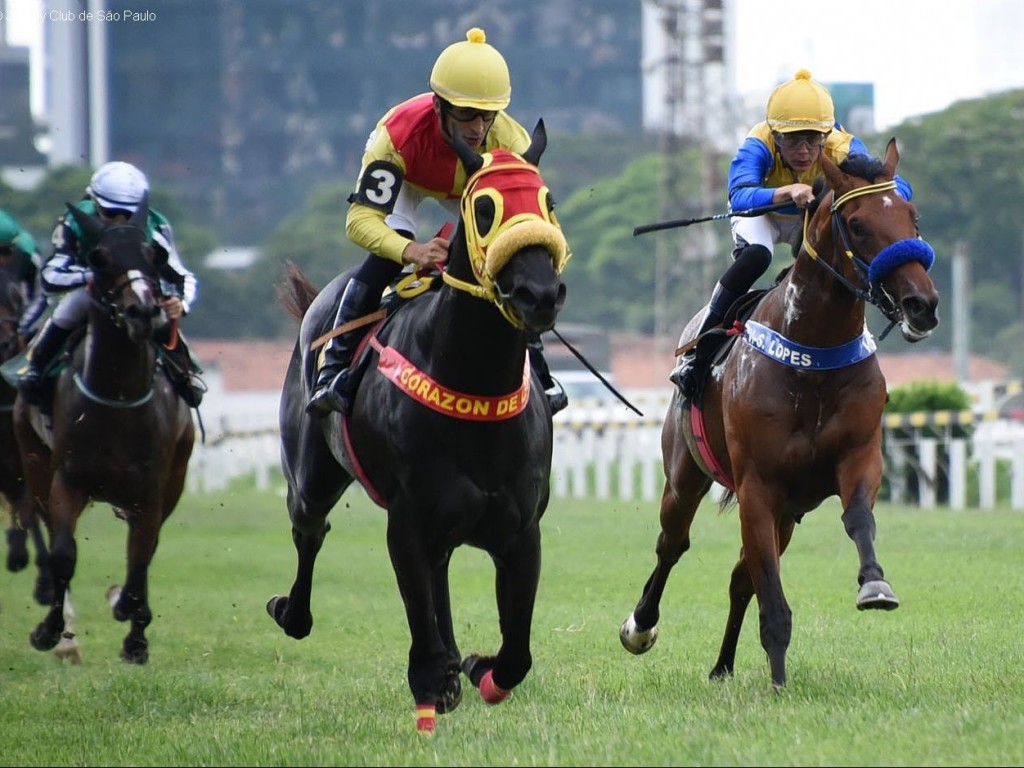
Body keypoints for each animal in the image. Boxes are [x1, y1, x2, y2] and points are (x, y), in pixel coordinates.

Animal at [12, 201, 194, 663]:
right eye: (98, 258)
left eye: (154, 255)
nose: (144, 311)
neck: (118, 399)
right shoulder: (68, 479)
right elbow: (63, 555)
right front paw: (49, 632)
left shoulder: (151, 490)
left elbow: (140, 557)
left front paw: (134, 632)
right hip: (33, 459)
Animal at [268, 120, 573, 733]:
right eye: (483, 207)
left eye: (547, 202)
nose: (541, 295)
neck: (474, 384)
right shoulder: (407, 520)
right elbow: (420, 612)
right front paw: (435, 678)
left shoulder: (520, 528)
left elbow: (516, 652)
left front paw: (477, 667)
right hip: (310, 477)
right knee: (310, 529)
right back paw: (292, 611)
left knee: (439, 573)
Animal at [618, 140, 937, 692]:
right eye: (857, 224)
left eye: (912, 216)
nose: (923, 304)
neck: (814, 356)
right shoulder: (757, 487)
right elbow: (771, 595)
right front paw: (779, 683)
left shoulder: (857, 458)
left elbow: (858, 518)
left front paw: (874, 585)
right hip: (685, 477)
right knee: (672, 544)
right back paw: (641, 626)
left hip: (787, 512)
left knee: (738, 578)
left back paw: (722, 666)